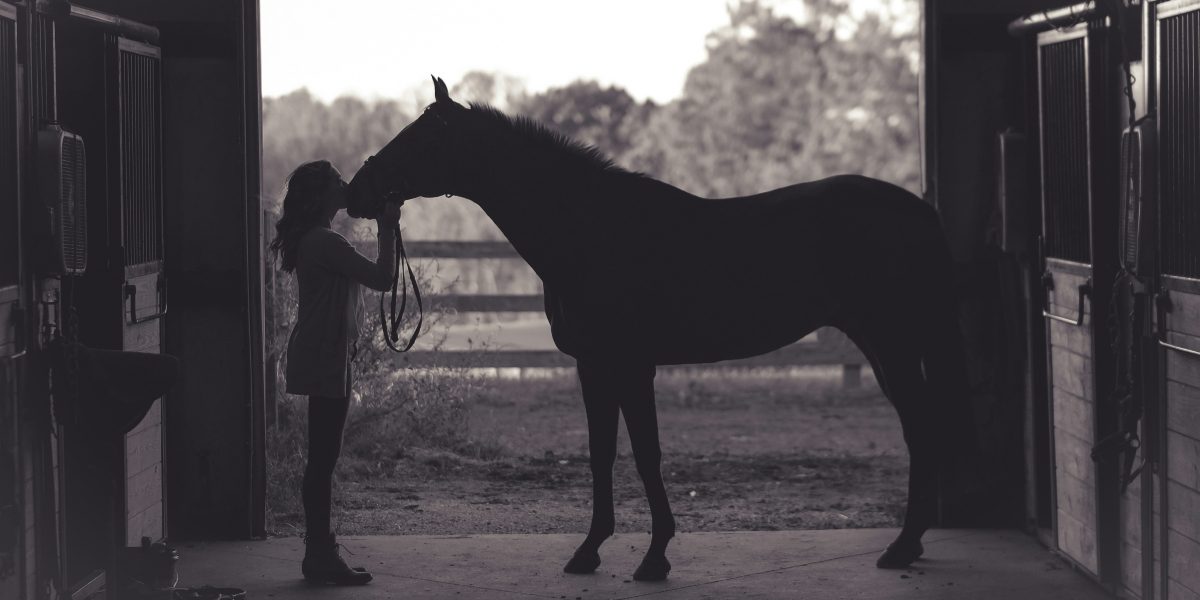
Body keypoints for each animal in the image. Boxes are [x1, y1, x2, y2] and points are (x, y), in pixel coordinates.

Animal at [347, 76, 973, 582]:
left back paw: (901, 547)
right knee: (920, 428)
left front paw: (654, 558)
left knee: (922, 429)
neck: (590, 229)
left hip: (892, 343)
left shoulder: (632, 365)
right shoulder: (593, 365)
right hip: (883, 345)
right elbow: (602, 453)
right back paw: (908, 546)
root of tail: (918, 209)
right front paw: (589, 552)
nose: (356, 191)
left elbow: (646, 454)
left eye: (421, 139)